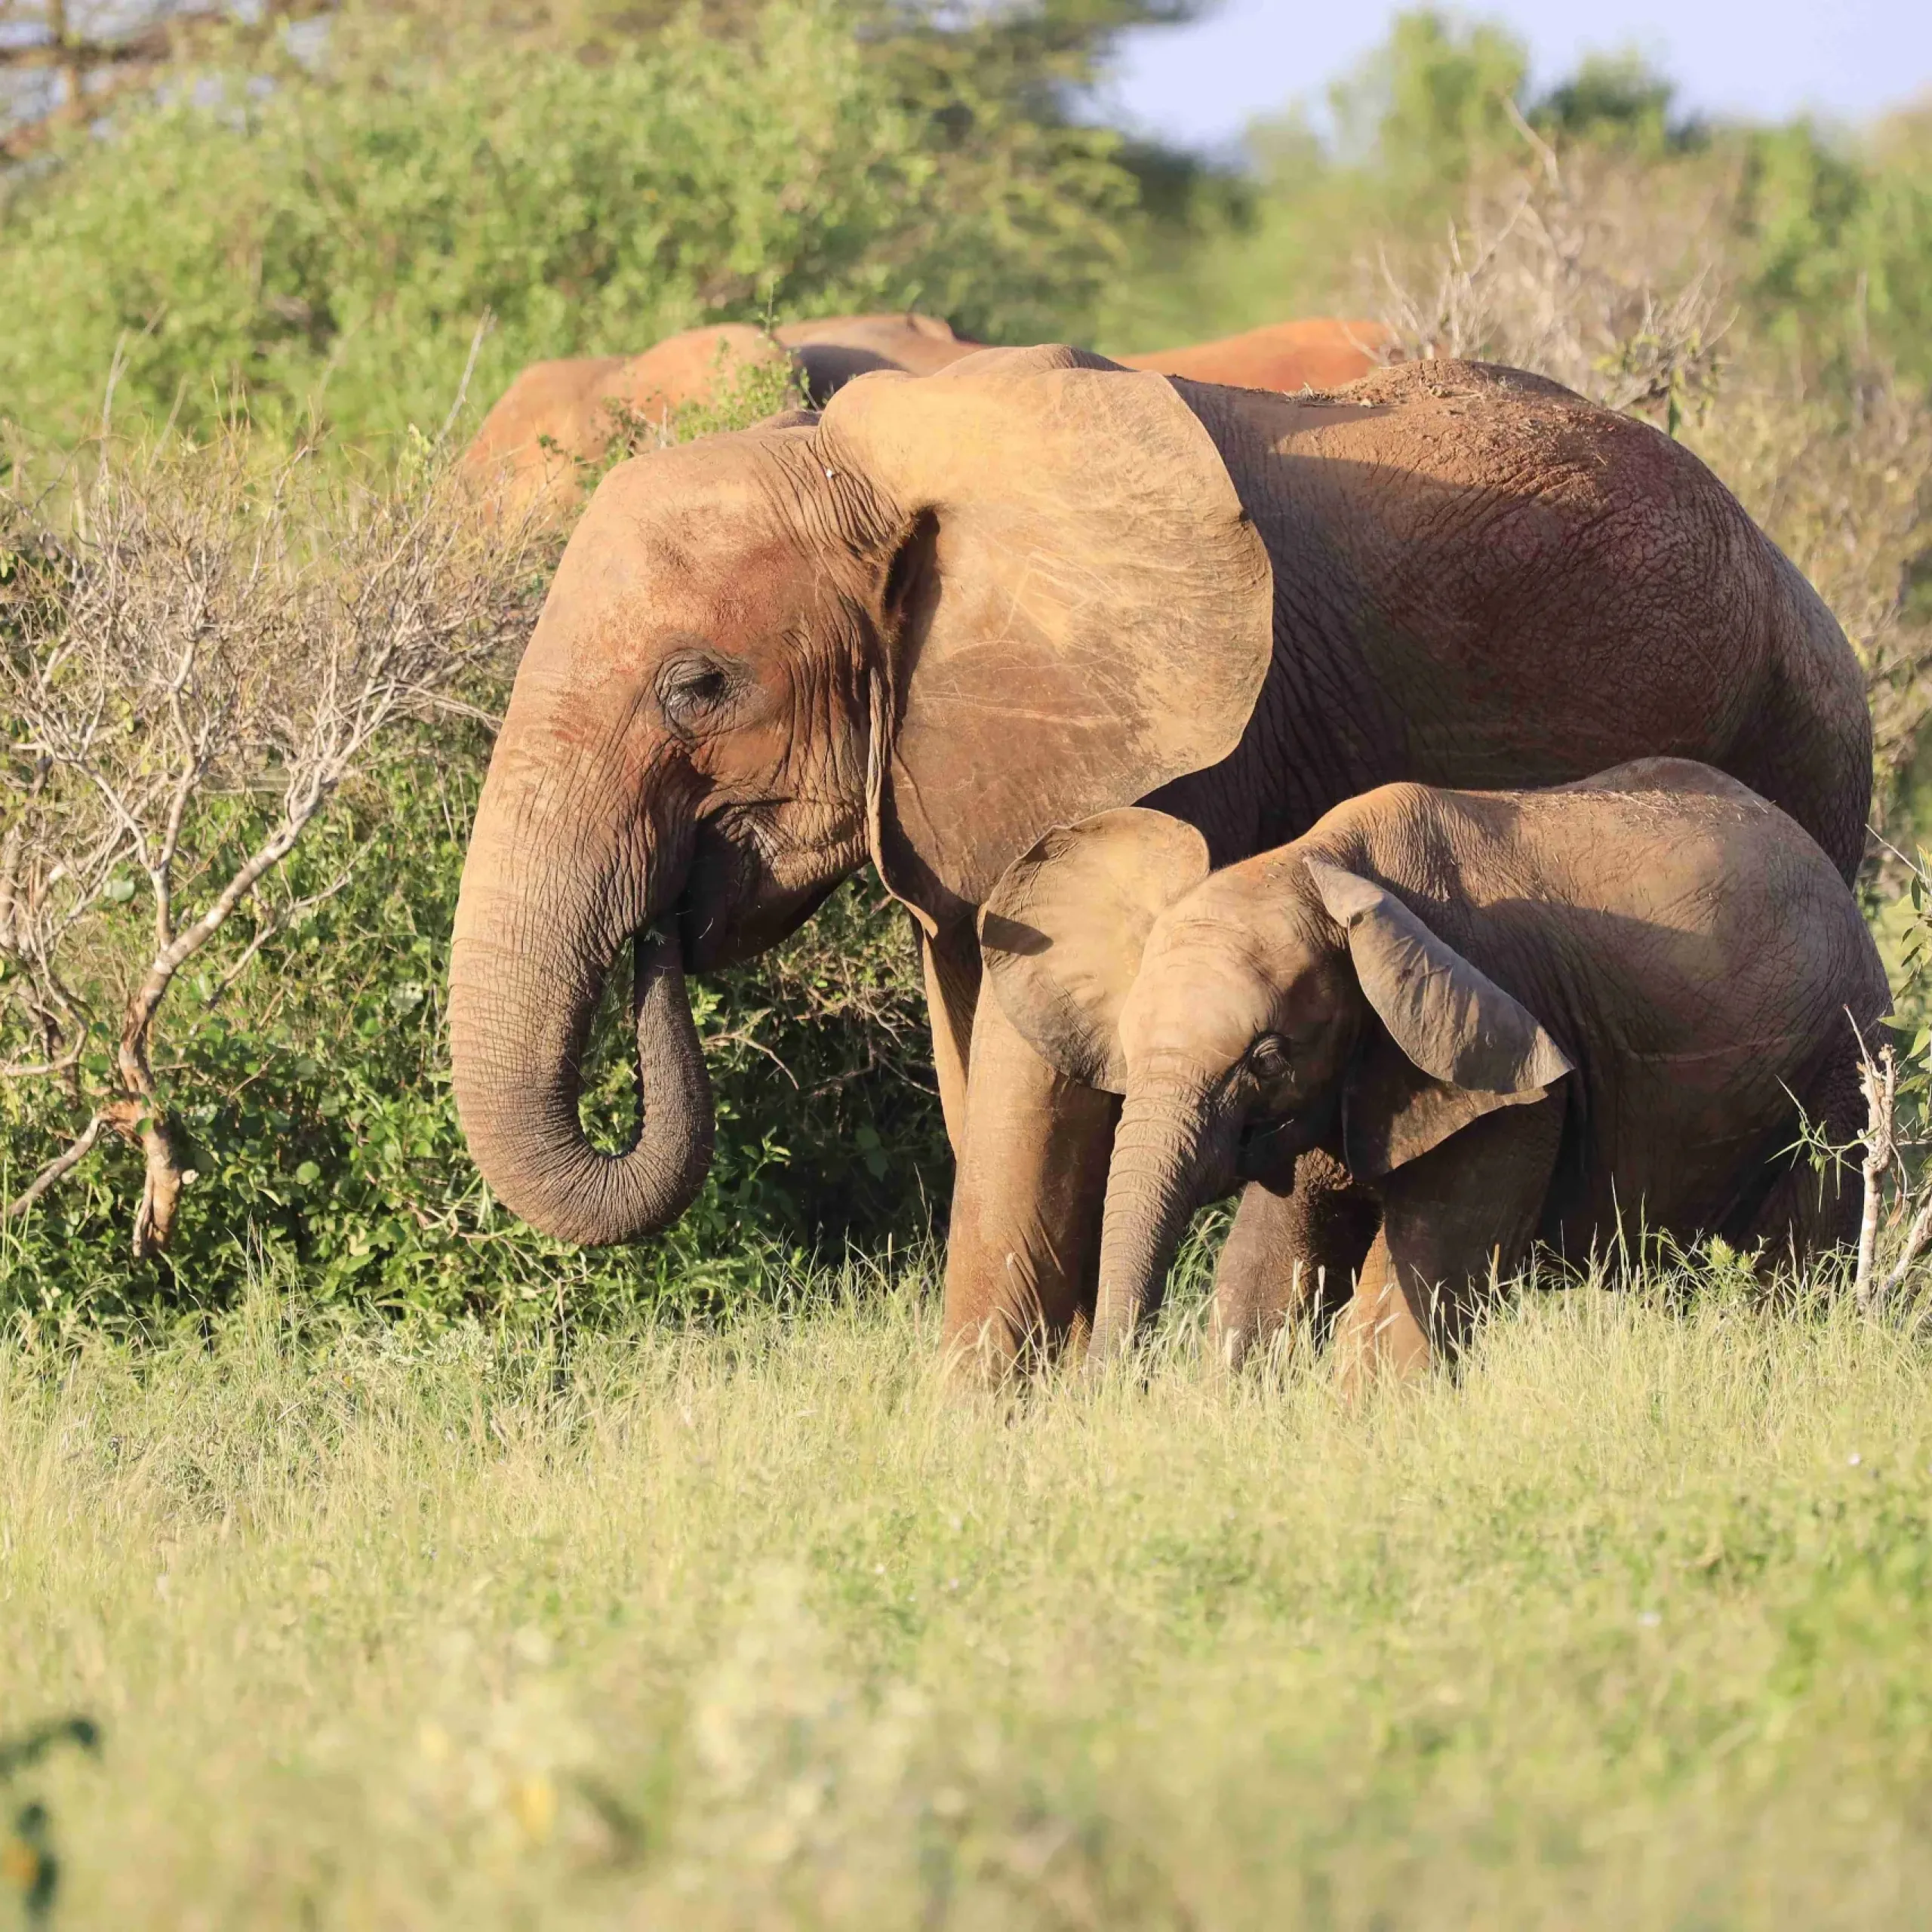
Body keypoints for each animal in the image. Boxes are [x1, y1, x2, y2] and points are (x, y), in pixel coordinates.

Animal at [978, 761, 1890, 1378]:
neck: (1319, 859)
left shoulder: (1508, 1075)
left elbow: (1406, 1291)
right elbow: (1267, 1272)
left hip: (1841, 1072)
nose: (1104, 1388)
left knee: (1794, 1269)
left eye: (1266, 1058)